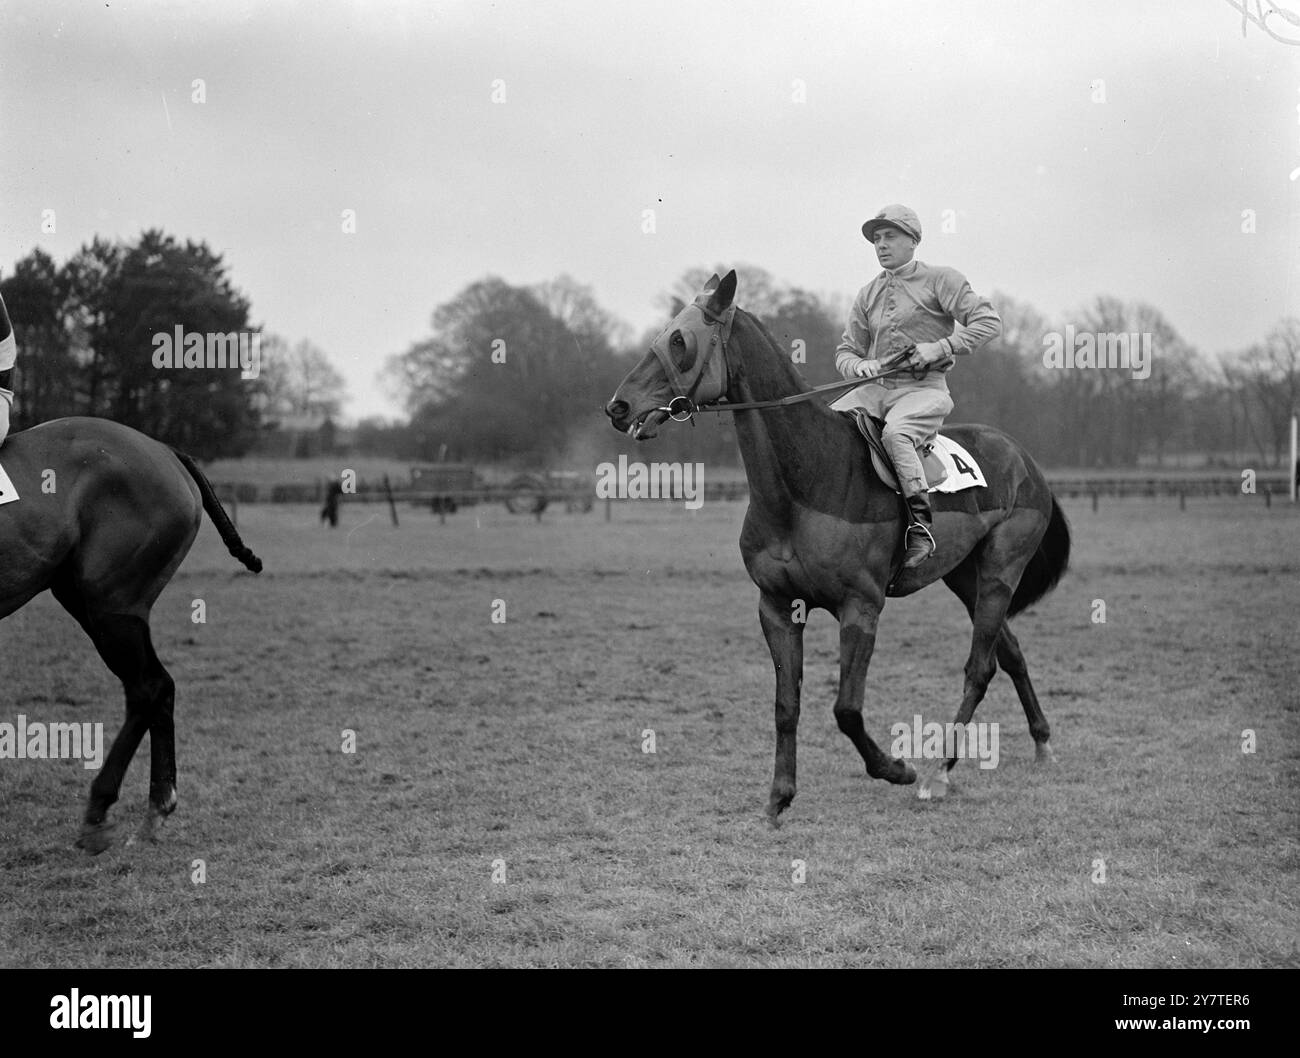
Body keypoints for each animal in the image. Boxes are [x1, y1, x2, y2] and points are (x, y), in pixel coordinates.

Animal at [1, 415, 261, 852]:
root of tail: (164, 448)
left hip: (112, 605)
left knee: (149, 688)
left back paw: (104, 808)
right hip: (87, 600)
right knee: (158, 687)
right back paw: (156, 807)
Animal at [603, 271, 1071, 821]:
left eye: (680, 341)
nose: (618, 406)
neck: (802, 483)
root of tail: (1024, 460)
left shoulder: (860, 607)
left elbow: (846, 709)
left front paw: (897, 769)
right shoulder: (777, 605)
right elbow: (786, 705)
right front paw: (779, 795)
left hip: (1001, 567)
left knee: (980, 667)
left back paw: (938, 772)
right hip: (964, 575)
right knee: (1010, 653)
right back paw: (1041, 741)